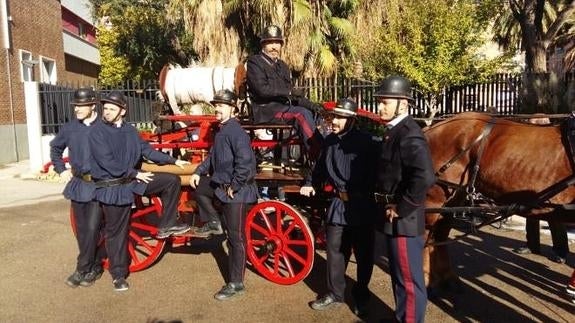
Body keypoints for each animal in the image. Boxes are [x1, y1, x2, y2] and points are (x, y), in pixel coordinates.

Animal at [424, 112, 575, 288]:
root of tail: (432, 128)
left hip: (454, 197)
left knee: (440, 233)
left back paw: (447, 278)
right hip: (434, 198)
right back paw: (426, 279)